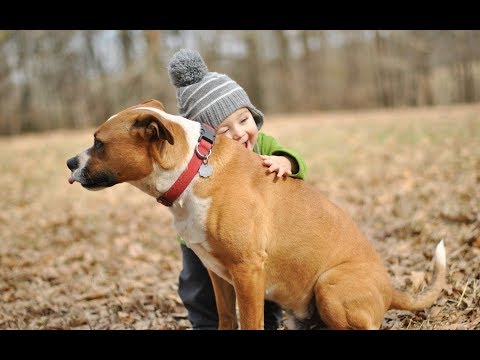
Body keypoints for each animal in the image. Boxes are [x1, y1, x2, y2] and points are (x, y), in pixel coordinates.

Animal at [66, 100, 446, 330]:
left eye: (99, 143)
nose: (70, 162)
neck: (194, 168)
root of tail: (389, 289)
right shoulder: (217, 273)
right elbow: (225, 317)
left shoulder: (247, 271)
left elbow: (249, 322)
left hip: (329, 285)